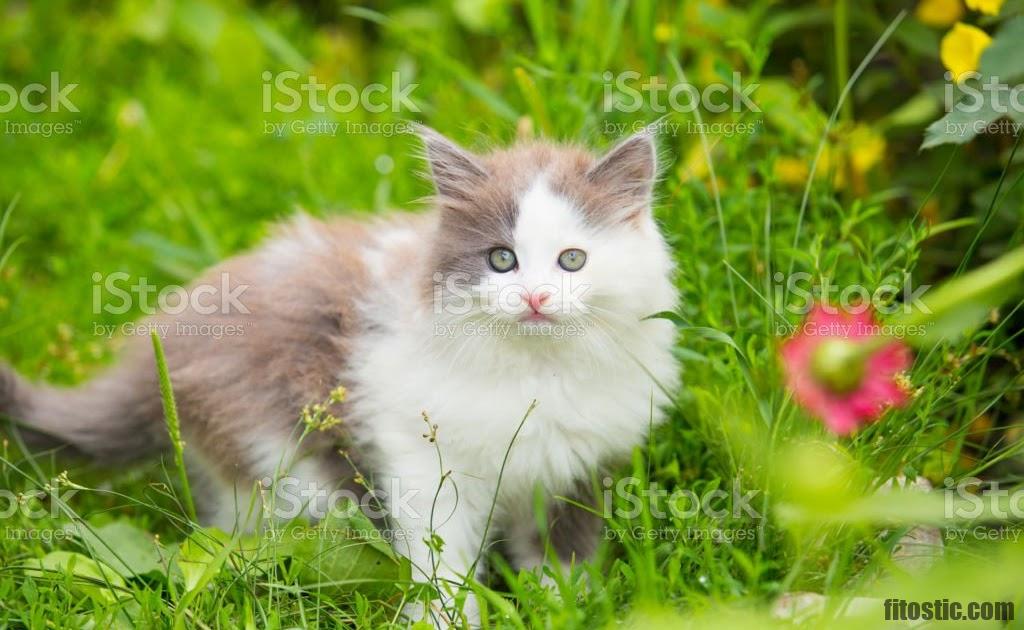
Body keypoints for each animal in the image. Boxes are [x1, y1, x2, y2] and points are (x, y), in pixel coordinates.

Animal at [0, 127, 679, 626]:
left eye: (573, 260)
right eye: (501, 259)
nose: (536, 297)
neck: (536, 372)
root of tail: (169, 339)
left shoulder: (578, 464)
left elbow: (562, 551)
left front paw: (562, 606)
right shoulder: (420, 454)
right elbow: (442, 556)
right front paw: (446, 618)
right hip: (288, 465)